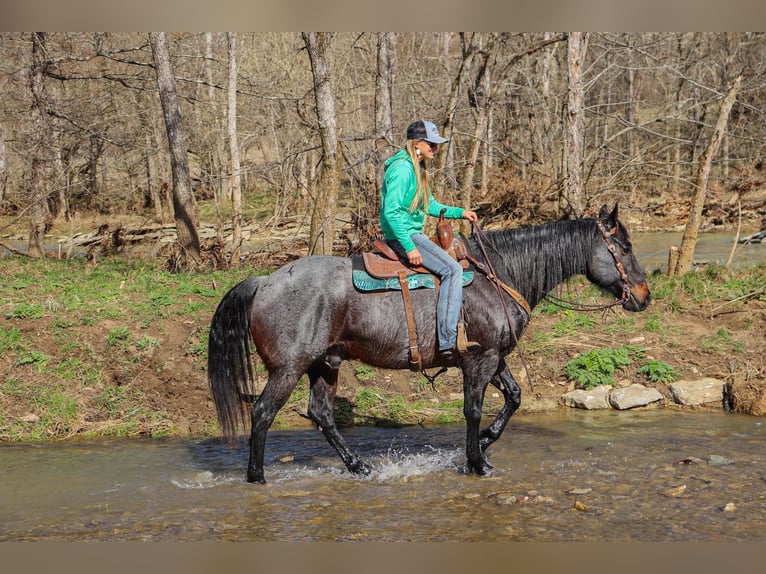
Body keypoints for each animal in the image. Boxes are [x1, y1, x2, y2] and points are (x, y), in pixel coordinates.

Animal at [207, 205, 652, 484]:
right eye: (624, 248)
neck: (500, 274)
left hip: (325, 365)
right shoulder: (479, 361)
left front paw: (485, 443)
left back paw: (359, 467)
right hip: (289, 369)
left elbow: (514, 397)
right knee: (263, 413)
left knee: (321, 415)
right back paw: (257, 477)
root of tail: (264, 281)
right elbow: (473, 410)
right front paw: (477, 462)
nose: (644, 296)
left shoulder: (495, 358)